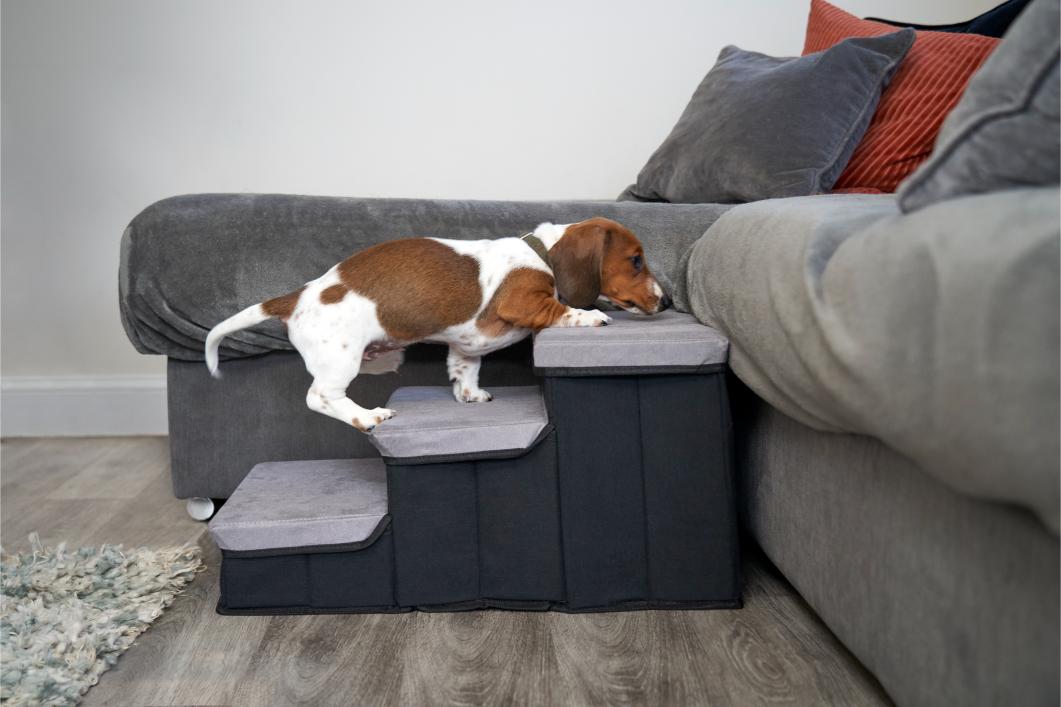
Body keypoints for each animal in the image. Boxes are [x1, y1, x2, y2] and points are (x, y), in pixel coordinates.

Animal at [204, 216, 670, 428]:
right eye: (636, 260)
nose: (666, 301)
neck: (540, 252)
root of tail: (297, 296)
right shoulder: (524, 299)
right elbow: (560, 311)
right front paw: (591, 315)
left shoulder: (465, 347)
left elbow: (464, 369)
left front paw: (470, 394)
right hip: (340, 360)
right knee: (319, 397)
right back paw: (367, 416)